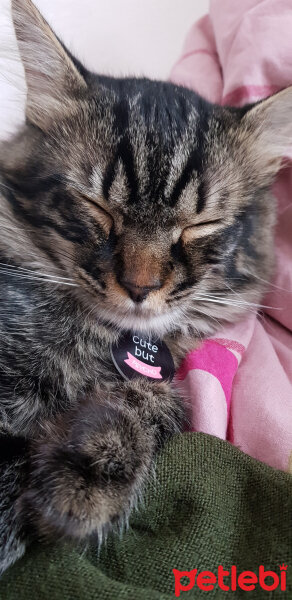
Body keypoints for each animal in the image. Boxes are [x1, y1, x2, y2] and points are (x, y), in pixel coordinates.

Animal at [0, 0, 292, 576]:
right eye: (97, 207)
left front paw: (87, 474)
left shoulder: (167, 377)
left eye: (200, 225)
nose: (140, 287)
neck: (94, 342)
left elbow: (158, 402)